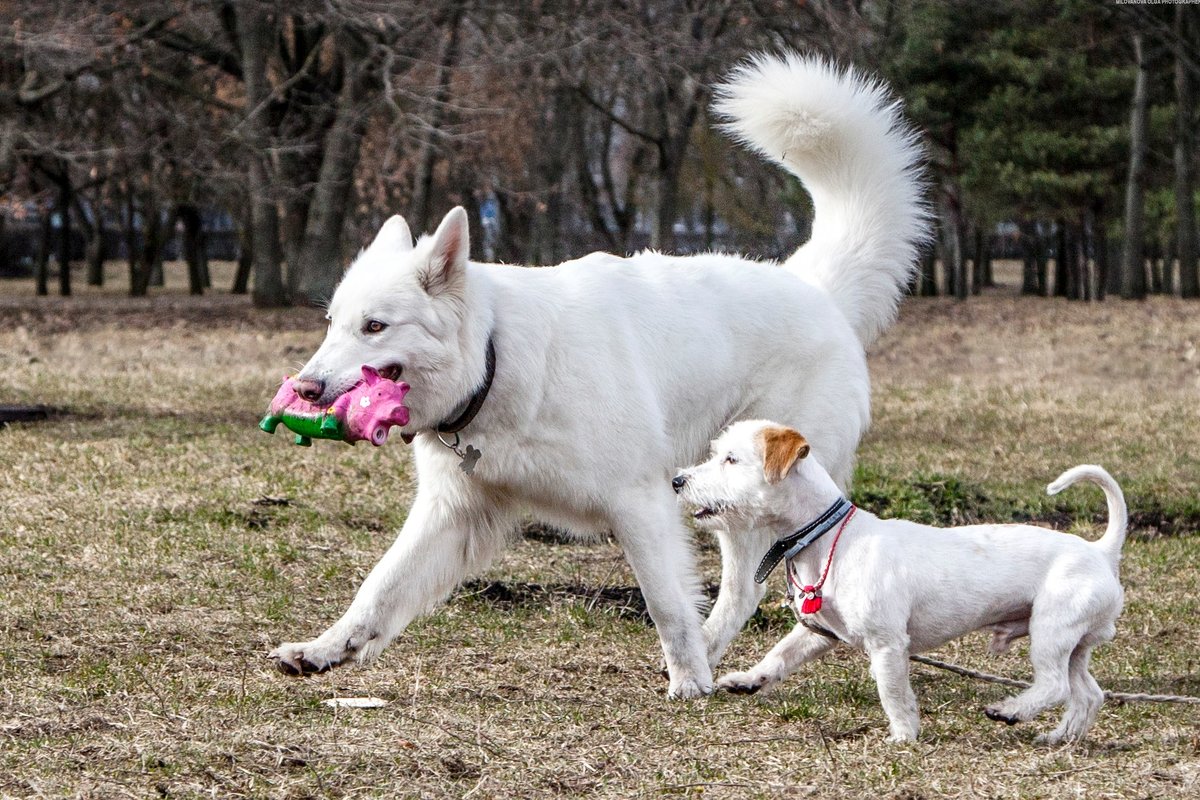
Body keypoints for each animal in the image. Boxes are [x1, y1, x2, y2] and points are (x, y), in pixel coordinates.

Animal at [272, 53, 926, 695]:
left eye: (375, 327)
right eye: (333, 324)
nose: (304, 388)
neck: (495, 357)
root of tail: (814, 285)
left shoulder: (639, 502)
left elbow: (666, 604)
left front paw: (688, 679)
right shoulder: (451, 514)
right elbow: (379, 588)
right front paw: (327, 648)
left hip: (744, 496)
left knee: (744, 591)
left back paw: (709, 663)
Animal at [676, 422, 1123, 743]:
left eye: (731, 460)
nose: (679, 481)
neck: (829, 539)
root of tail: (1101, 550)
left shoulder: (887, 644)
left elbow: (892, 694)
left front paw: (904, 735)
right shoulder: (818, 631)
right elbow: (779, 655)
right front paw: (749, 679)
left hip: (1050, 632)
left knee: (1054, 685)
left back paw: (1011, 710)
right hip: (1074, 645)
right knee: (1087, 694)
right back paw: (1060, 736)